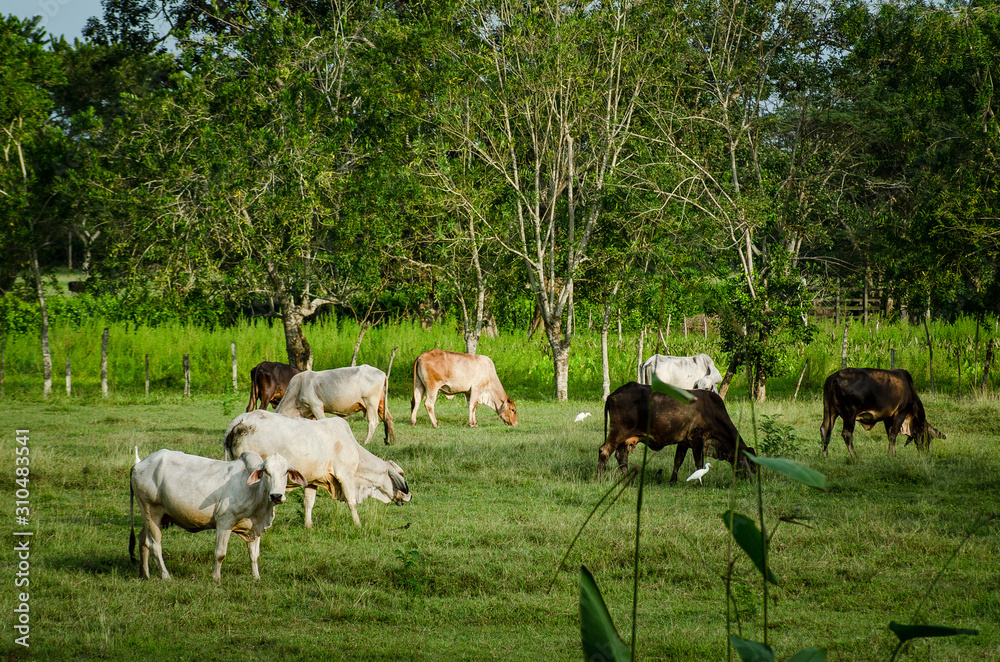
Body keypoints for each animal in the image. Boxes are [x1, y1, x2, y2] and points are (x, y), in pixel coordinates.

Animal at [131, 448, 306, 584]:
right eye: (266, 472)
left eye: (286, 472)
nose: (276, 496)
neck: (254, 491)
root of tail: (139, 464)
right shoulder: (224, 521)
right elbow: (220, 553)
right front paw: (216, 578)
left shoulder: (255, 527)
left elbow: (254, 556)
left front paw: (256, 577)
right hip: (152, 511)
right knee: (154, 545)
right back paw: (166, 576)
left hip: (151, 516)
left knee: (142, 540)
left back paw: (144, 574)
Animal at [226, 410, 410, 528]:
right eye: (401, 473)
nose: (409, 496)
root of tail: (242, 420)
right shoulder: (345, 476)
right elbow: (352, 502)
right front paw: (358, 525)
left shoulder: (312, 480)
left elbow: (309, 503)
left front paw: (308, 525)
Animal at [596, 382, 752, 486]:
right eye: (751, 463)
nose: (752, 480)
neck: (712, 412)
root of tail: (614, 393)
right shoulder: (696, 439)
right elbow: (698, 463)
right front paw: (700, 482)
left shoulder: (684, 442)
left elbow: (678, 460)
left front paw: (672, 481)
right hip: (618, 433)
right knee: (605, 451)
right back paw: (600, 479)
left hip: (624, 439)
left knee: (621, 457)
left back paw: (629, 481)